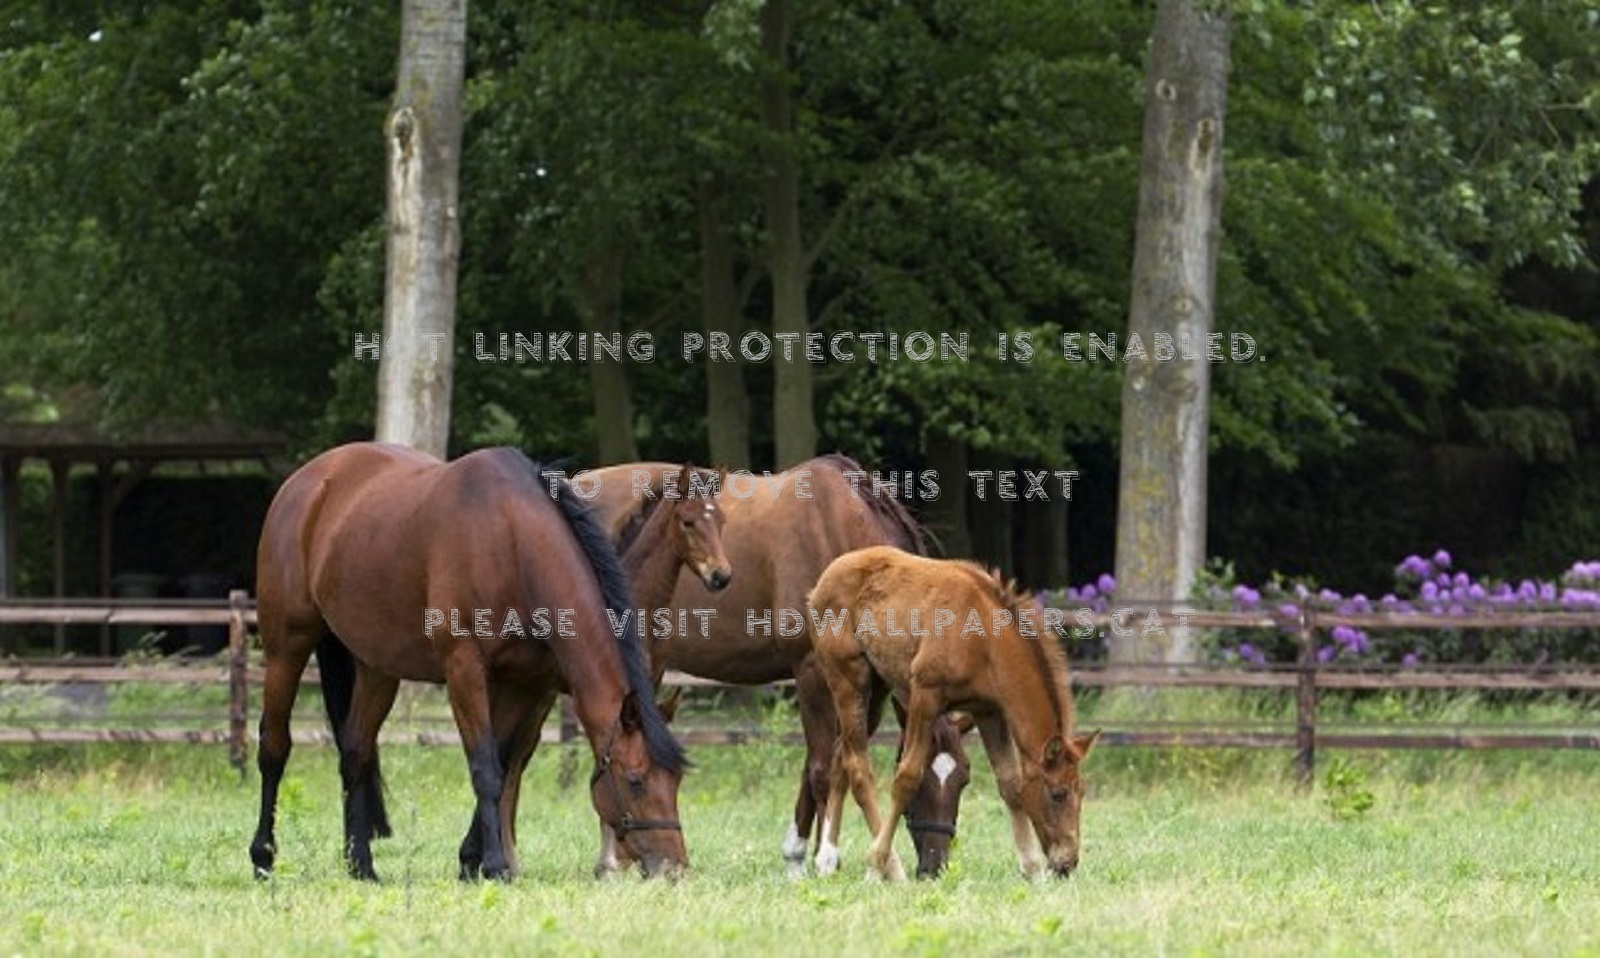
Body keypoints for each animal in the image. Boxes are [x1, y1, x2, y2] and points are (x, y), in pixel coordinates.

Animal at [248, 442, 690, 882]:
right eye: (635, 781)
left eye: (677, 781)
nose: (674, 868)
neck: (511, 541)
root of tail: (307, 482)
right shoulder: (465, 672)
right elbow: (486, 768)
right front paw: (493, 864)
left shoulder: (524, 684)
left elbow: (504, 761)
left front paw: (471, 861)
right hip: (286, 648)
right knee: (274, 747)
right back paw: (263, 857)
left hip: (376, 667)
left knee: (355, 752)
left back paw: (362, 865)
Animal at [582, 455, 974, 878]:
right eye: (923, 783)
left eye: (963, 779)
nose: (935, 866)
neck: (840, 532)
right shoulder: (811, 671)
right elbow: (821, 768)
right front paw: (823, 858)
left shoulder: (865, 686)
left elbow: (836, 759)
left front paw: (799, 855)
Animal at [808, 545, 1099, 881]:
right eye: (1058, 794)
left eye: (1082, 792)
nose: (1067, 863)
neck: (985, 641)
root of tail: (824, 580)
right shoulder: (925, 696)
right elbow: (907, 777)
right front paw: (875, 863)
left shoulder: (989, 712)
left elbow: (1010, 784)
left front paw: (1033, 870)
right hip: (848, 679)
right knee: (857, 765)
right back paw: (888, 866)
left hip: (876, 688)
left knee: (840, 754)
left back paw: (826, 858)